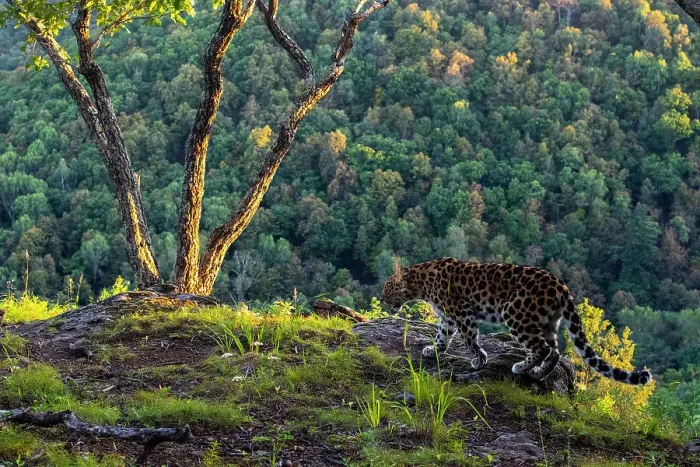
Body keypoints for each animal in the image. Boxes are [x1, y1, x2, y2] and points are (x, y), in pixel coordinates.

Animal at [380, 257, 652, 385]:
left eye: (388, 286)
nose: (381, 298)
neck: (422, 283)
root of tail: (561, 286)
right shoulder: (449, 317)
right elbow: (442, 336)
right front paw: (432, 350)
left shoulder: (462, 312)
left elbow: (469, 338)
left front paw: (479, 360)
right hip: (547, 321)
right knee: (554, 350)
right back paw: (538, 373)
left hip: (515, 313)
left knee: (542, 348)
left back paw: (521, 367)